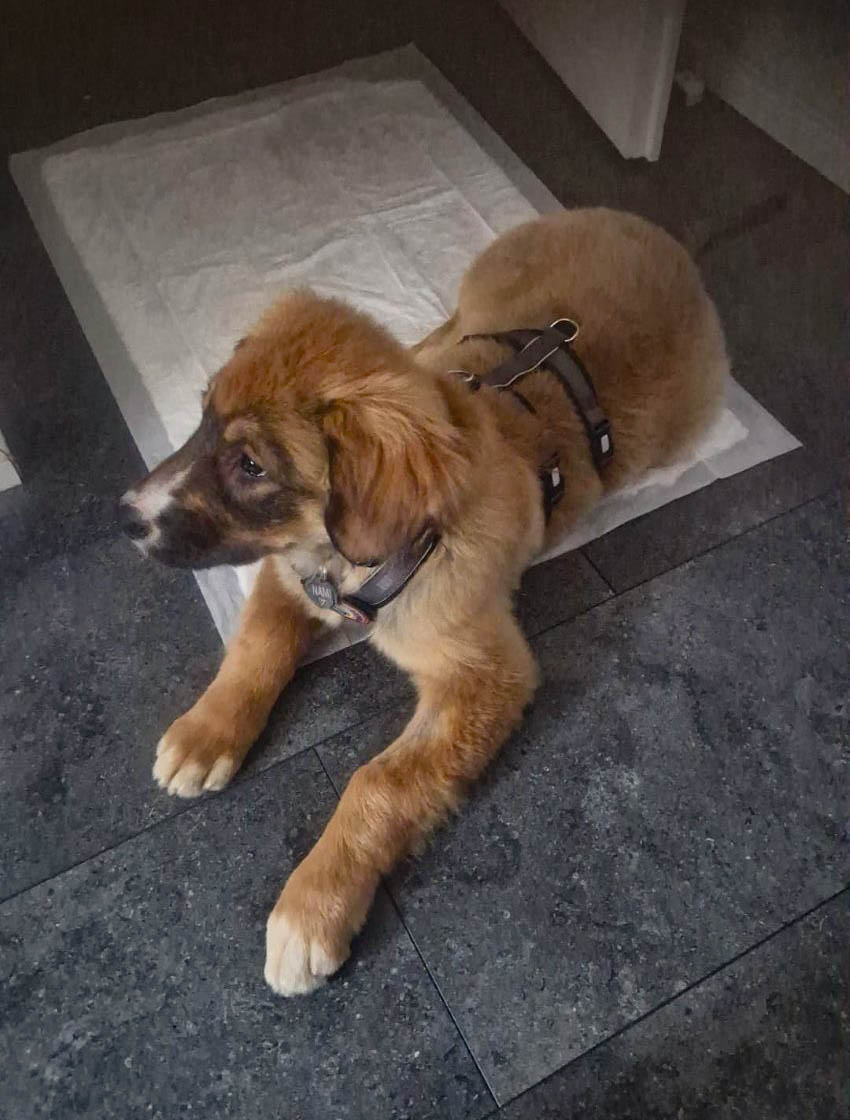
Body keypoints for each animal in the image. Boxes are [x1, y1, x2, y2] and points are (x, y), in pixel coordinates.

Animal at [120, 207, 729, 996]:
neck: (356, 561)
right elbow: (256, 648)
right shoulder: (288, 572)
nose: (125, 517)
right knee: (432, 347)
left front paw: (312, 907)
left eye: (251, 465)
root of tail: (654, 233)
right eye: (200, 422)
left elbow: (379, 781)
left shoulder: (482, 677)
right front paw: (206, 733)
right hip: (468, 309)